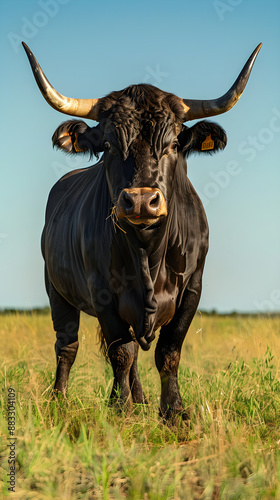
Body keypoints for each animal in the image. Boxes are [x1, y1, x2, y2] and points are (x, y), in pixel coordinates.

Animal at [23, 43, 262, 418]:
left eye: (175, 145)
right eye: (107, 145)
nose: (139, 201)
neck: (148, 250)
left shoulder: (192, 288)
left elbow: (168, 352)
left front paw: (173, 412)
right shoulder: (102, 291)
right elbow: (121, 353)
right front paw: (120, 409)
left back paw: (140, 399)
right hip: (56, 289)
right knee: (68, 345)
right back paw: (61, 400)